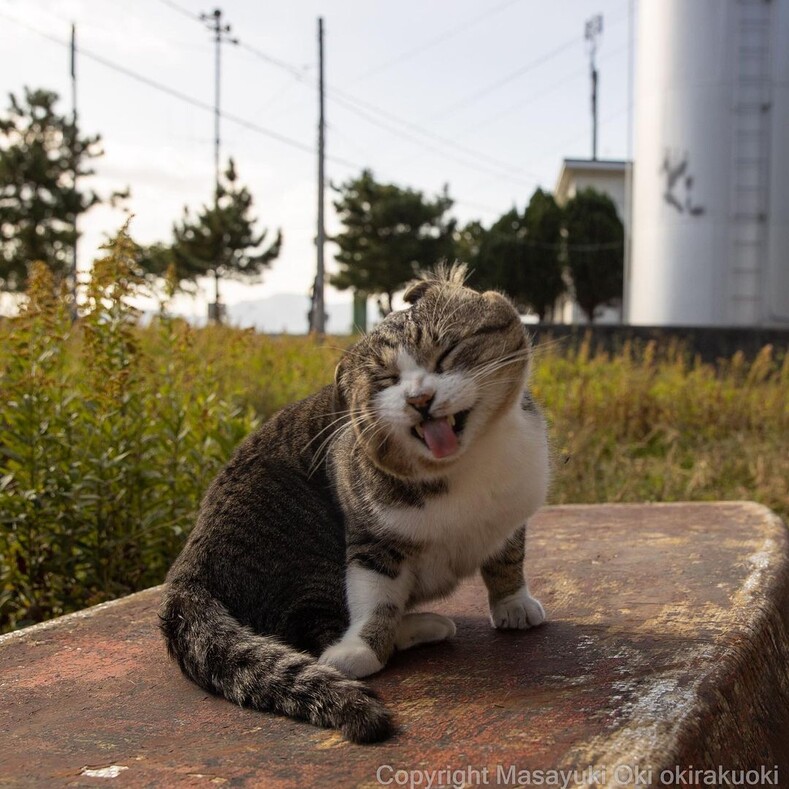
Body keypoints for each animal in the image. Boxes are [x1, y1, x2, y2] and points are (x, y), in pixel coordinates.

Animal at [159, 264, 548, 744]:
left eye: (445, 353)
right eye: (385, 382)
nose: (419, 399)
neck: (465, 464)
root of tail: (186, 572)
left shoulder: (512, 511)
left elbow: (508, 558)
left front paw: (513, 604)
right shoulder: (370, 539)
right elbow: (374, 599)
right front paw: (360, 648)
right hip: (302, 547)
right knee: (307, 625)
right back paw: (418, 626)